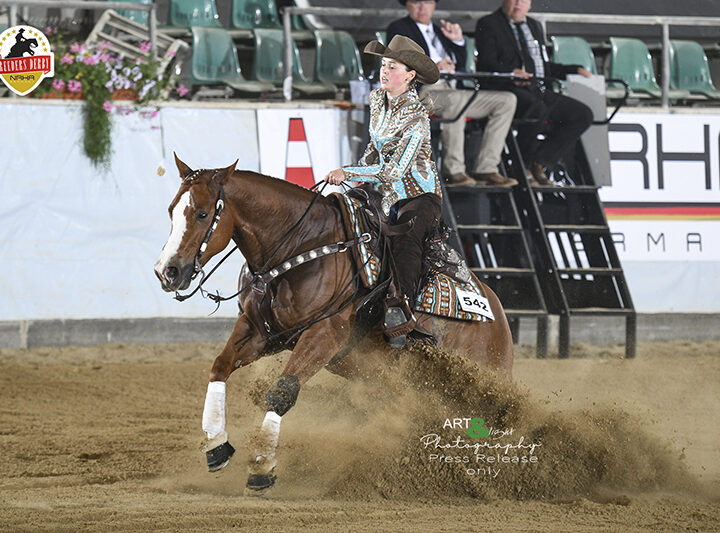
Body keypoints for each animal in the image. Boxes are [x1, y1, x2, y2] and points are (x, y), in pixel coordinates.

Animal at [153, 155, 512, 494]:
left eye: (202, 214)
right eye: (171, 210)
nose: (167, 271)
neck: (302, 246)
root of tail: (498, 315)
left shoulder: (324, 336)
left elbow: (282, 392)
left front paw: (261, 467)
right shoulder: (261, 332)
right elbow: (220, 366)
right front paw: (216, 446)